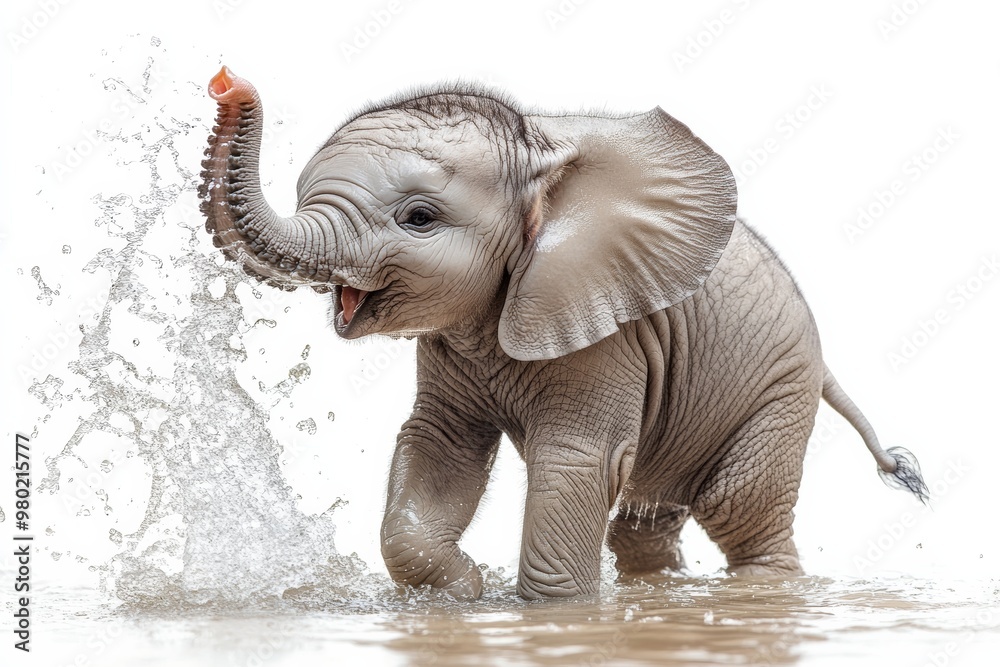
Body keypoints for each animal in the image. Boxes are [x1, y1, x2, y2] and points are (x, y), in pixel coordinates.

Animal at [199, 66, 929, 600]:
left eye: (419, 218)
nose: (225, 81)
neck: (537, 159)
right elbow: (438, 446)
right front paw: (462, 593)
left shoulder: (610, 335)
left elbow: (575, 462)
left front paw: (547, 611)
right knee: (646, 521)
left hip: (780, 388)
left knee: (736, 506)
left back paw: (758, 593)